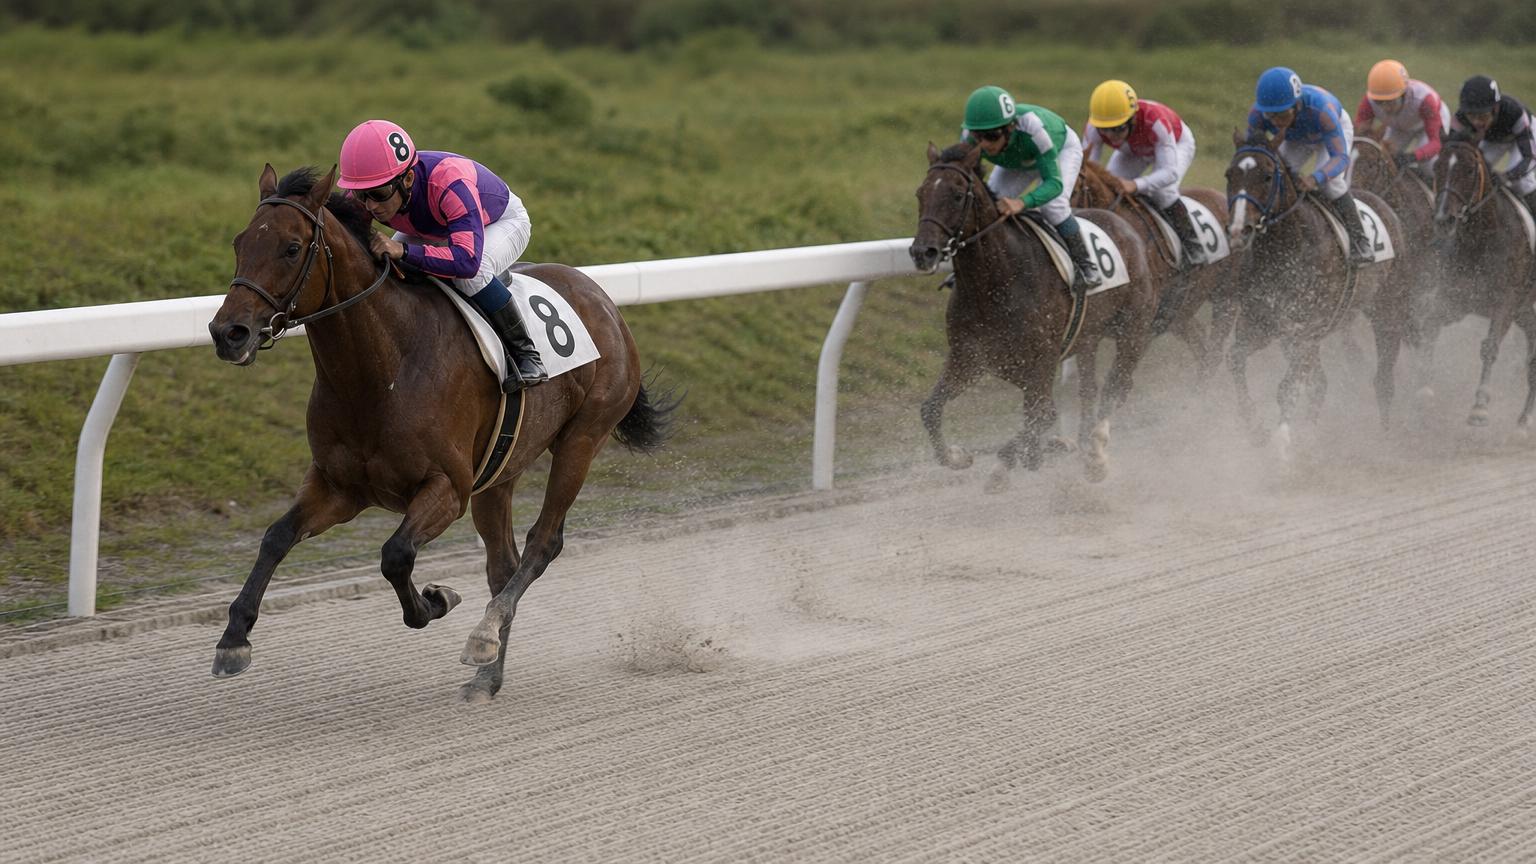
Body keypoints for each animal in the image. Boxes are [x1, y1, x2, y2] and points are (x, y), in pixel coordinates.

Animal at [208, 165, 678, 702]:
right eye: (240, 242)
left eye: (290, 247)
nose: (228, 333)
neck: (380, 370)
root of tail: (603, 298)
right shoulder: (339, 487)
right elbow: (276, 536)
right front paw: (233, 639)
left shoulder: (447, 489)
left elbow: (395, 556)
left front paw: (438, 599)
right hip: (500, 471)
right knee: (503, 563)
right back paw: (488, 676)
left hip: (582, 440)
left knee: (543, 543)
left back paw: (483, 636)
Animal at [909, 142, 1156, 487]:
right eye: (921, 193)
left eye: (957, 195)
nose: (923, 252)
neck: (996, 282)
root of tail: (1123, 225)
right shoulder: (969, 358)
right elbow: (930, 409)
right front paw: (958, 456)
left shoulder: (1041, 359)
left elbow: (1043, 414)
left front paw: (1005, 466)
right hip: (1088, 339)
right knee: (1091, 388)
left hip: (1133, 328)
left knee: (1116, 386)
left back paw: (1095, 454)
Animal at [1072, 160, 1240, 375]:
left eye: (1075, 189)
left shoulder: (1143, 328)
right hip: (1182, 314)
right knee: (1203, 349)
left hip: (1226, 297)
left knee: (1213, 354)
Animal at [1223, 132, 1409, 457]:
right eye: (1229, 175)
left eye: (1267, 175)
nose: (1238, 230)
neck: (1286, 246)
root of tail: (1384, 206)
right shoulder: (1261, 323)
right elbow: (1235, 360)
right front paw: (1256, 428)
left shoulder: (1305, 330)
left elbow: (1287, 387)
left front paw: (1281, 442)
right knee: (1320, 382)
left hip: (1387, 310)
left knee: (1383, 377)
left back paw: (1384, 435)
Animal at [1426, 139, 1536, 430]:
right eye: (1438, 167)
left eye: (1468, 170)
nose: (1444, 220)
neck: (1483, 238)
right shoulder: (1456, 300)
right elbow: (1431, 326)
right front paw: (1424, 388)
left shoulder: (1506, 302)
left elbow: (1489, 347)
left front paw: (1479, 408)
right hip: (1527, 317)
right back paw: (1523, 421)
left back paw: (1525, 421)